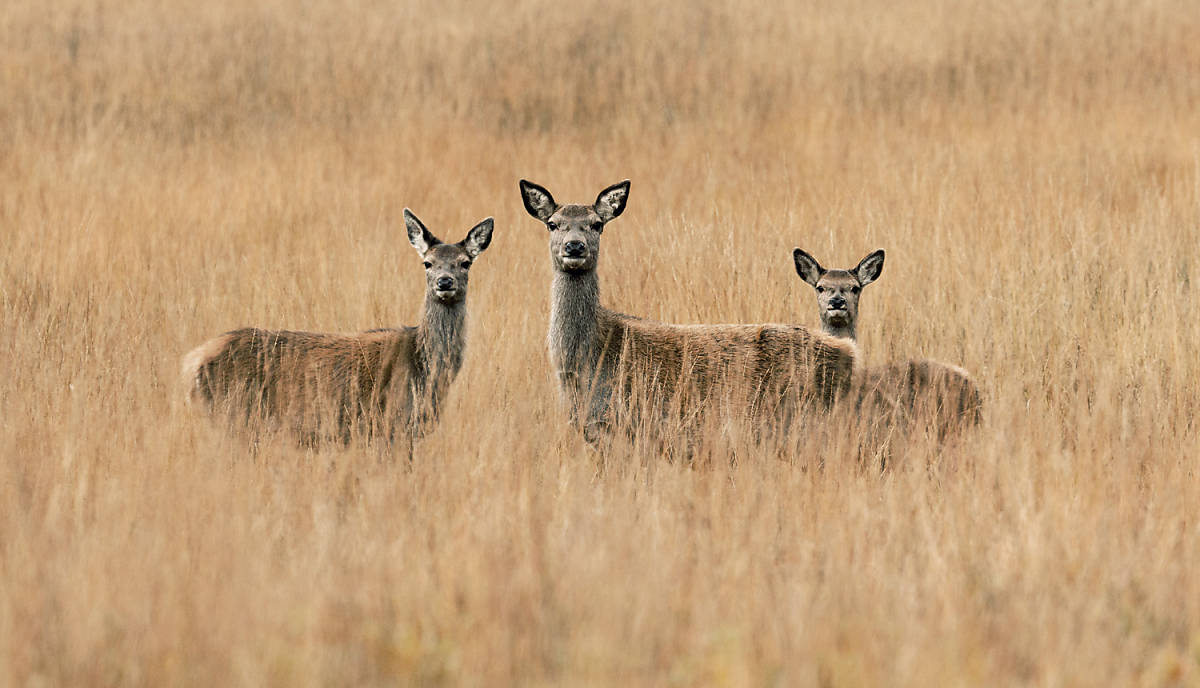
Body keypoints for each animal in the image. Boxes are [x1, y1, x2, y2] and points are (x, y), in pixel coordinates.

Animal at [176, 208, 492, 444]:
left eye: (465, 262)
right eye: (428, 263)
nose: (444, 282)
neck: (425, 370)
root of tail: (191, 362)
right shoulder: (391, 425)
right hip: (232, 415)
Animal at [520, 180, 859, 441]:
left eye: (597, 224)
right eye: (552, 224)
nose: (574, 246)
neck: (584, 360)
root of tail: (849, 352)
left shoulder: (625, 423)